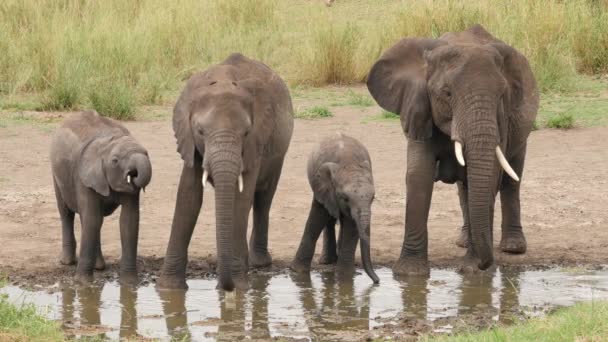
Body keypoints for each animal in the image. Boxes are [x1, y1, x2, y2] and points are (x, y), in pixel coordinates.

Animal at [51, 110, 153, 284]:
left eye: (146, 153)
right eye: (115, 161)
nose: (133, 173)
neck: (107, 143)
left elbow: (129, 220)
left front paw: (130, 284)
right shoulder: (84, 178)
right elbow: (91, 218)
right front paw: (83, 283)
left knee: (94, 220)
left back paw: (99, 266)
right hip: (56, 172)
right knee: (66, 213)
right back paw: (67, 262)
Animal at [158, 53, 294, 292]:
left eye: (246, 132)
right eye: (200, 131)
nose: (225, 287)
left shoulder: (255, 143)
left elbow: (240, 199)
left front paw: (239, 287)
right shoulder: (189, 142)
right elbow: (188, 196)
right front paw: (169, 289)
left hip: (278, 153)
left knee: (264, 198)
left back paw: (258, 263)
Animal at [290, 133, 380, 284]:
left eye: (373, 198)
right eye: (345, 198)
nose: (377, 281)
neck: (349, 164)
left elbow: (351, 227)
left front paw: (345, 276)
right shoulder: (323, 187)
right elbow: (316, 219)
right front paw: (297, 272)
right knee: (329, 217)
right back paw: (327, 261)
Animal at [366, 24, 536, 276]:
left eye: (501, 95)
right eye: (447, 94)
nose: (485, 263)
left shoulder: (502, 119)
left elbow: (491, 177)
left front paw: (473, 271)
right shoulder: (419, 107)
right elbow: (418, 176)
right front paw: (409, 273)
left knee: (511, 179)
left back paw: (513, 247)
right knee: (465, 189)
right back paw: (463, 241)